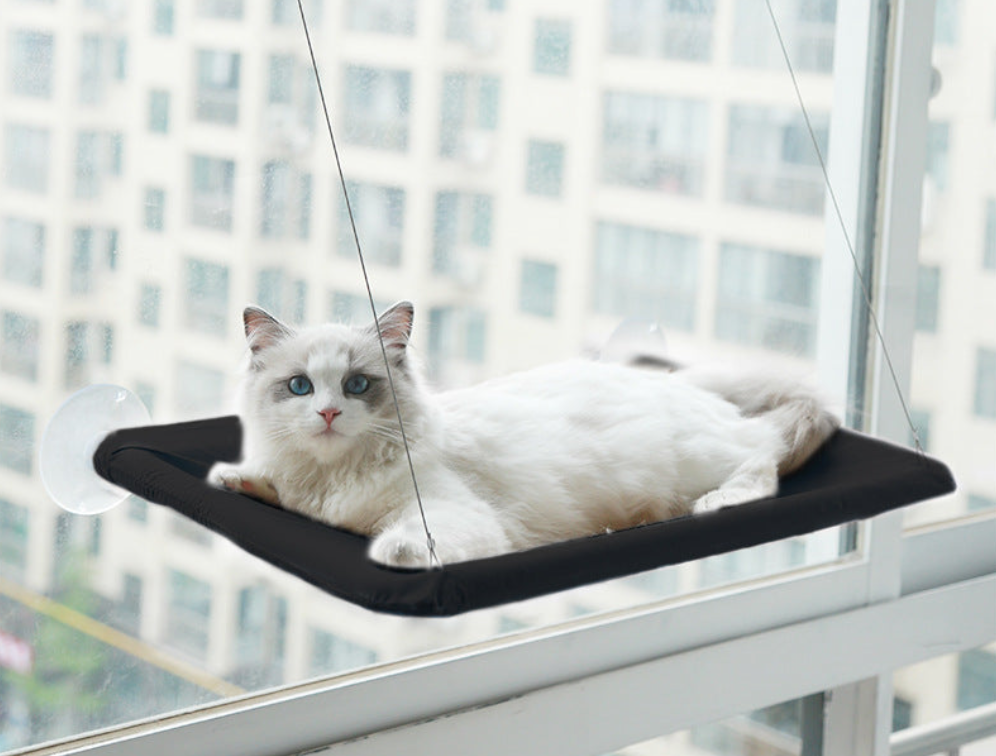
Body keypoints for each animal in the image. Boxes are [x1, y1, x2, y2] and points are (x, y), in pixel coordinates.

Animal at [210, 302, 840, 568]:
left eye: (357, 384)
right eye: (299, 387)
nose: (328, 415)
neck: (332, 479)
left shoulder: (454, 515)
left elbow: (407, 538)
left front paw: (392, 550)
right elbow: (273, 489)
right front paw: (235, 479)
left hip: (698, 461)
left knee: (762, 460)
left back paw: (719, 502)